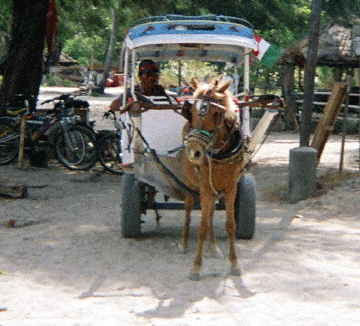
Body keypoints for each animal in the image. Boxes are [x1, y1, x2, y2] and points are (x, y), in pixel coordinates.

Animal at [180, 76, 248, 280]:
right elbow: (201, 227)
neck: (221, 154)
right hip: (190, 185)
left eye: (217, 113)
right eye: (191, 112)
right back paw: (184, 242)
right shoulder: (204, 188)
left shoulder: (231, 188)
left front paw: (234, 263)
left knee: (209, 213)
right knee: (188, 210)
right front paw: (196, 266)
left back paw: (214, 246)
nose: (194, 152)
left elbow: (230, 225)